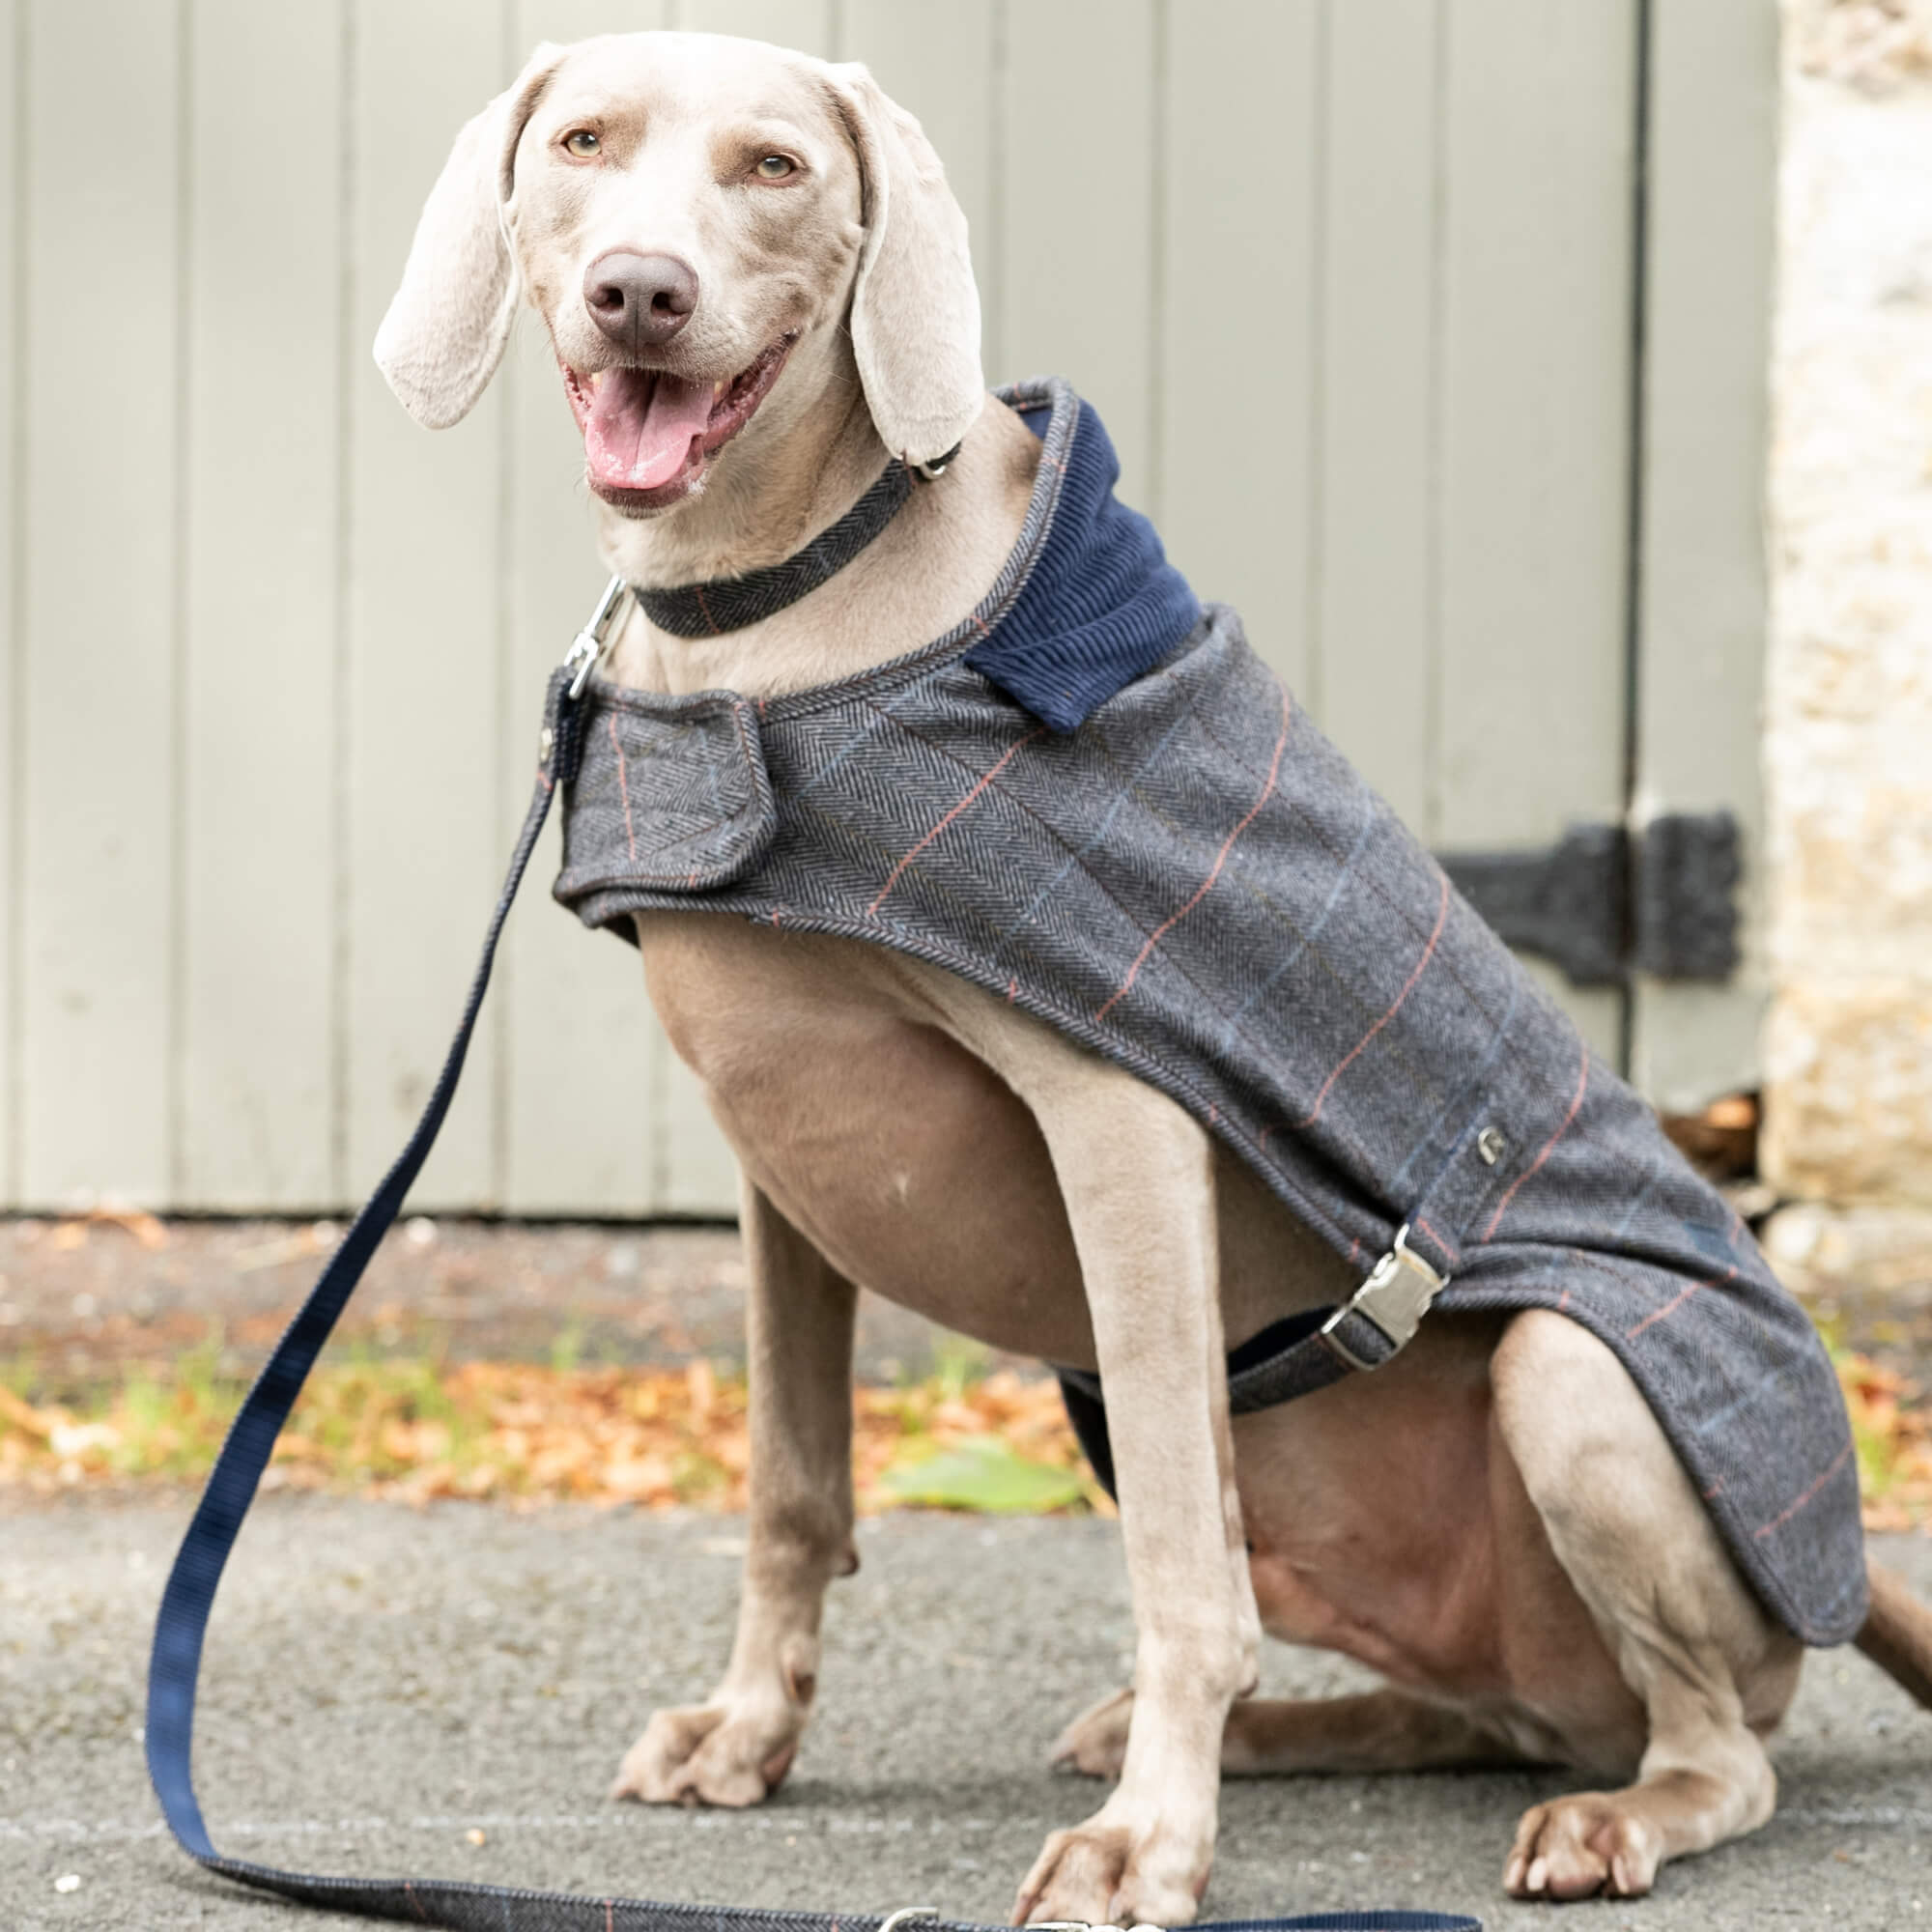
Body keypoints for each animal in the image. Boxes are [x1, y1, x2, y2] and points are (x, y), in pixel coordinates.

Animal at [373, 26, 1932, 1917]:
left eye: (774, 167)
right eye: (586, 142)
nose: (639, 292)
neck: (781, 613)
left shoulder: (1118, 1118)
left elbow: (1188, 1572)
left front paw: (1149, 1848)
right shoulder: (778, 1168)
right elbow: (792, 1489)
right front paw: (747, 1733)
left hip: (1569, 1390)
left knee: (1712, 1746)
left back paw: (1597, 1817)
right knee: (1495, 1708)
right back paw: (1284, 1736)